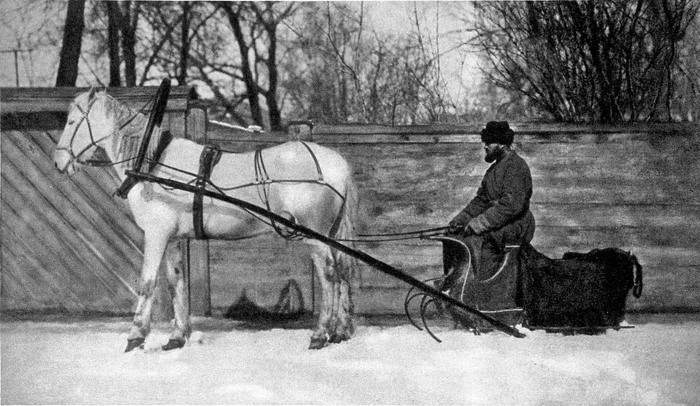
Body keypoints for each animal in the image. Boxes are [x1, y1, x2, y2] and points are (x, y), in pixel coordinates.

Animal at [53, 88, 358, 351]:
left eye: (72, 121)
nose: (58, 163)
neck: (153, 162)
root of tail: (337, 164)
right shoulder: (173, 238)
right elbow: (176, 283)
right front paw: (177, 337)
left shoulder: (156, 234)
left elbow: (148, 283)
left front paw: (135, 336)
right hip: (331, 234)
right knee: (343, 272)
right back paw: (340, 331)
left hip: (314, 235)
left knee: (329, 275)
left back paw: (320, 333)